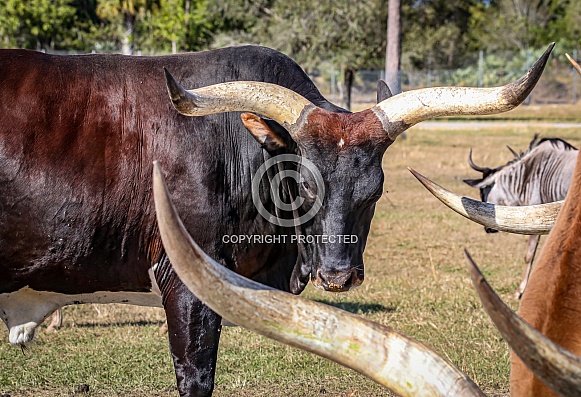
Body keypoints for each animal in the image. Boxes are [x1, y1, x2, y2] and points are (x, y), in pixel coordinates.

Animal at [462, 135, 576, 298]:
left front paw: (521, 291)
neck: (528, 173)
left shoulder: (537, 219)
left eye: (483, 191)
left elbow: (529, 255)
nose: (488, 229)